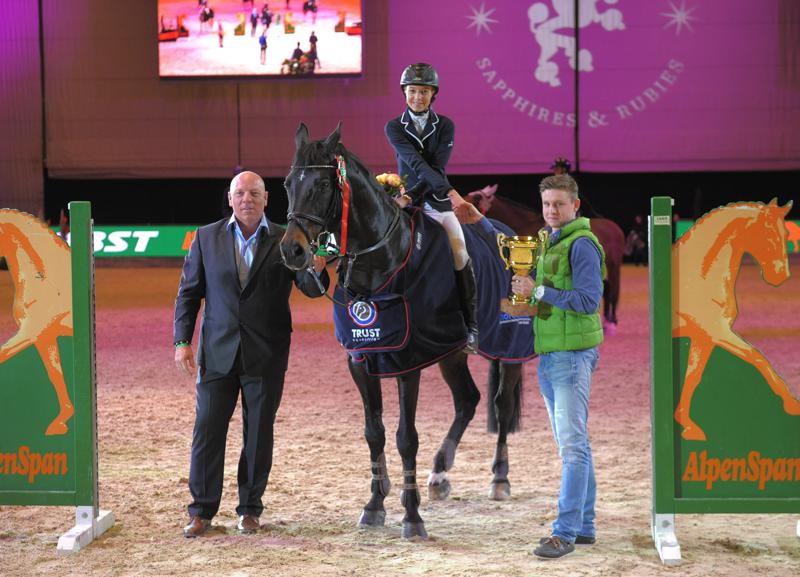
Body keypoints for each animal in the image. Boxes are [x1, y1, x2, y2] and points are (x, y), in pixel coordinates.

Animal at [672, 199, 796, 440]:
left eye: (786, 233)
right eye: (767, 234)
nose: (780, 276)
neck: (698, 275)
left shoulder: (703, 337)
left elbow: (693, 376)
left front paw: (688, 425)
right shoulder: (717, 331)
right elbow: (757, 357)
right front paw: (793, 404)